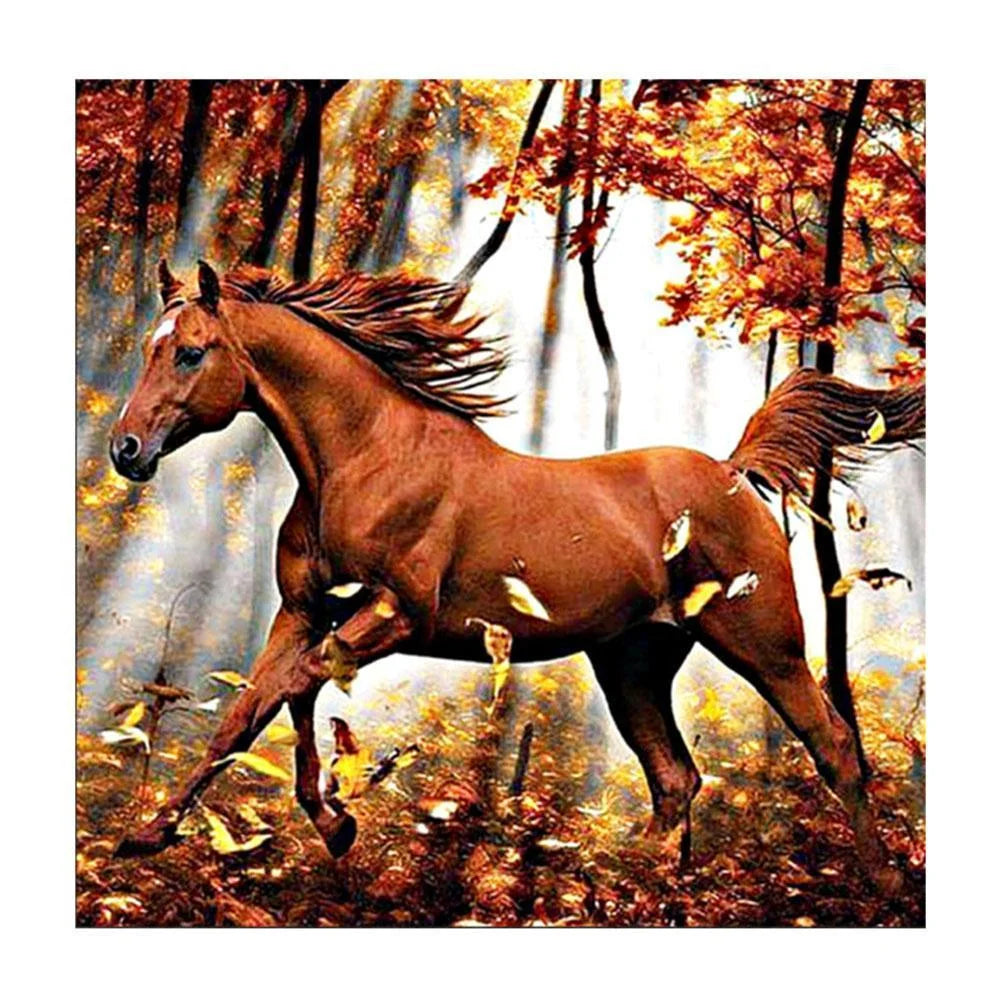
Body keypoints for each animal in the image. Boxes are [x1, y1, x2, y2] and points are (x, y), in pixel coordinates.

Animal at [108, 259, 924, 896]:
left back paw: (880, 884)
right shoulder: (305, 611)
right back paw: (632, 883)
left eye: (191, 352)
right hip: (631, 664)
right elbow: (248, 711)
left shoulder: (394, 614)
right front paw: (148, 835)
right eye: (153, 348)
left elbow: (295, 687)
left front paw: (336, 821)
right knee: (675, 778)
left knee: (831, 743)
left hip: (764, 645)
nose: (126, 449)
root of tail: (731, 472)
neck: (364, 458)